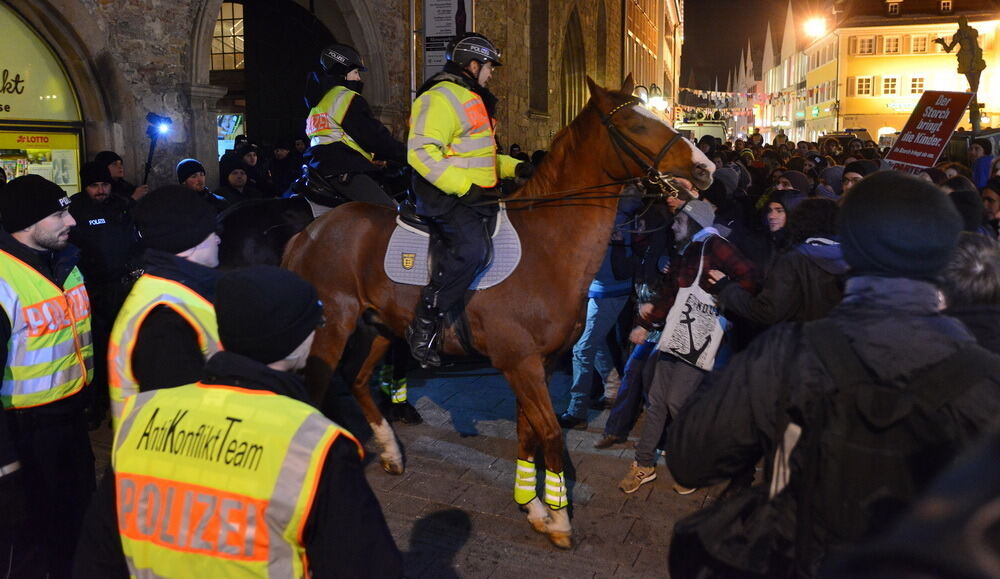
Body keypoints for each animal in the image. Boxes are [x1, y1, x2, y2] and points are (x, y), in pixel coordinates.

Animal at [284, 77, 712, 548]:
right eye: (636, 124)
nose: (705, 167)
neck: (546, 246)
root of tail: (309, 232)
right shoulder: (519, 362)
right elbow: (550, 434)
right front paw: (559, 519)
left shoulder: (537, 363)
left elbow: (528, 434)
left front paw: (534, 507)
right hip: (334, 326)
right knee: (318, 389)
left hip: (381, 327)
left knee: (358, 379)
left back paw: (391, 453)